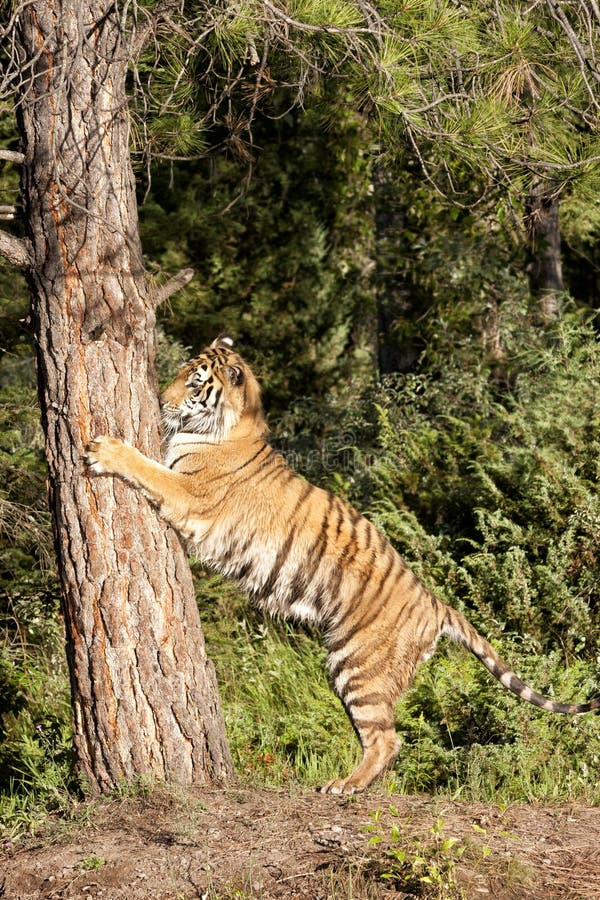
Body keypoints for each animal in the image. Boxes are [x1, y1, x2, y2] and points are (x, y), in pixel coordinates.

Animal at [84, 334, 600, 795]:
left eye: (193, 382)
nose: (159, 400)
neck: (237, 424)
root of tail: (436, 603)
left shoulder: (190, 494)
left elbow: (147, 467)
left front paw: (104, 450)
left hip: (358, 664)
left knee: (388, 739)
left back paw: (344, 786)